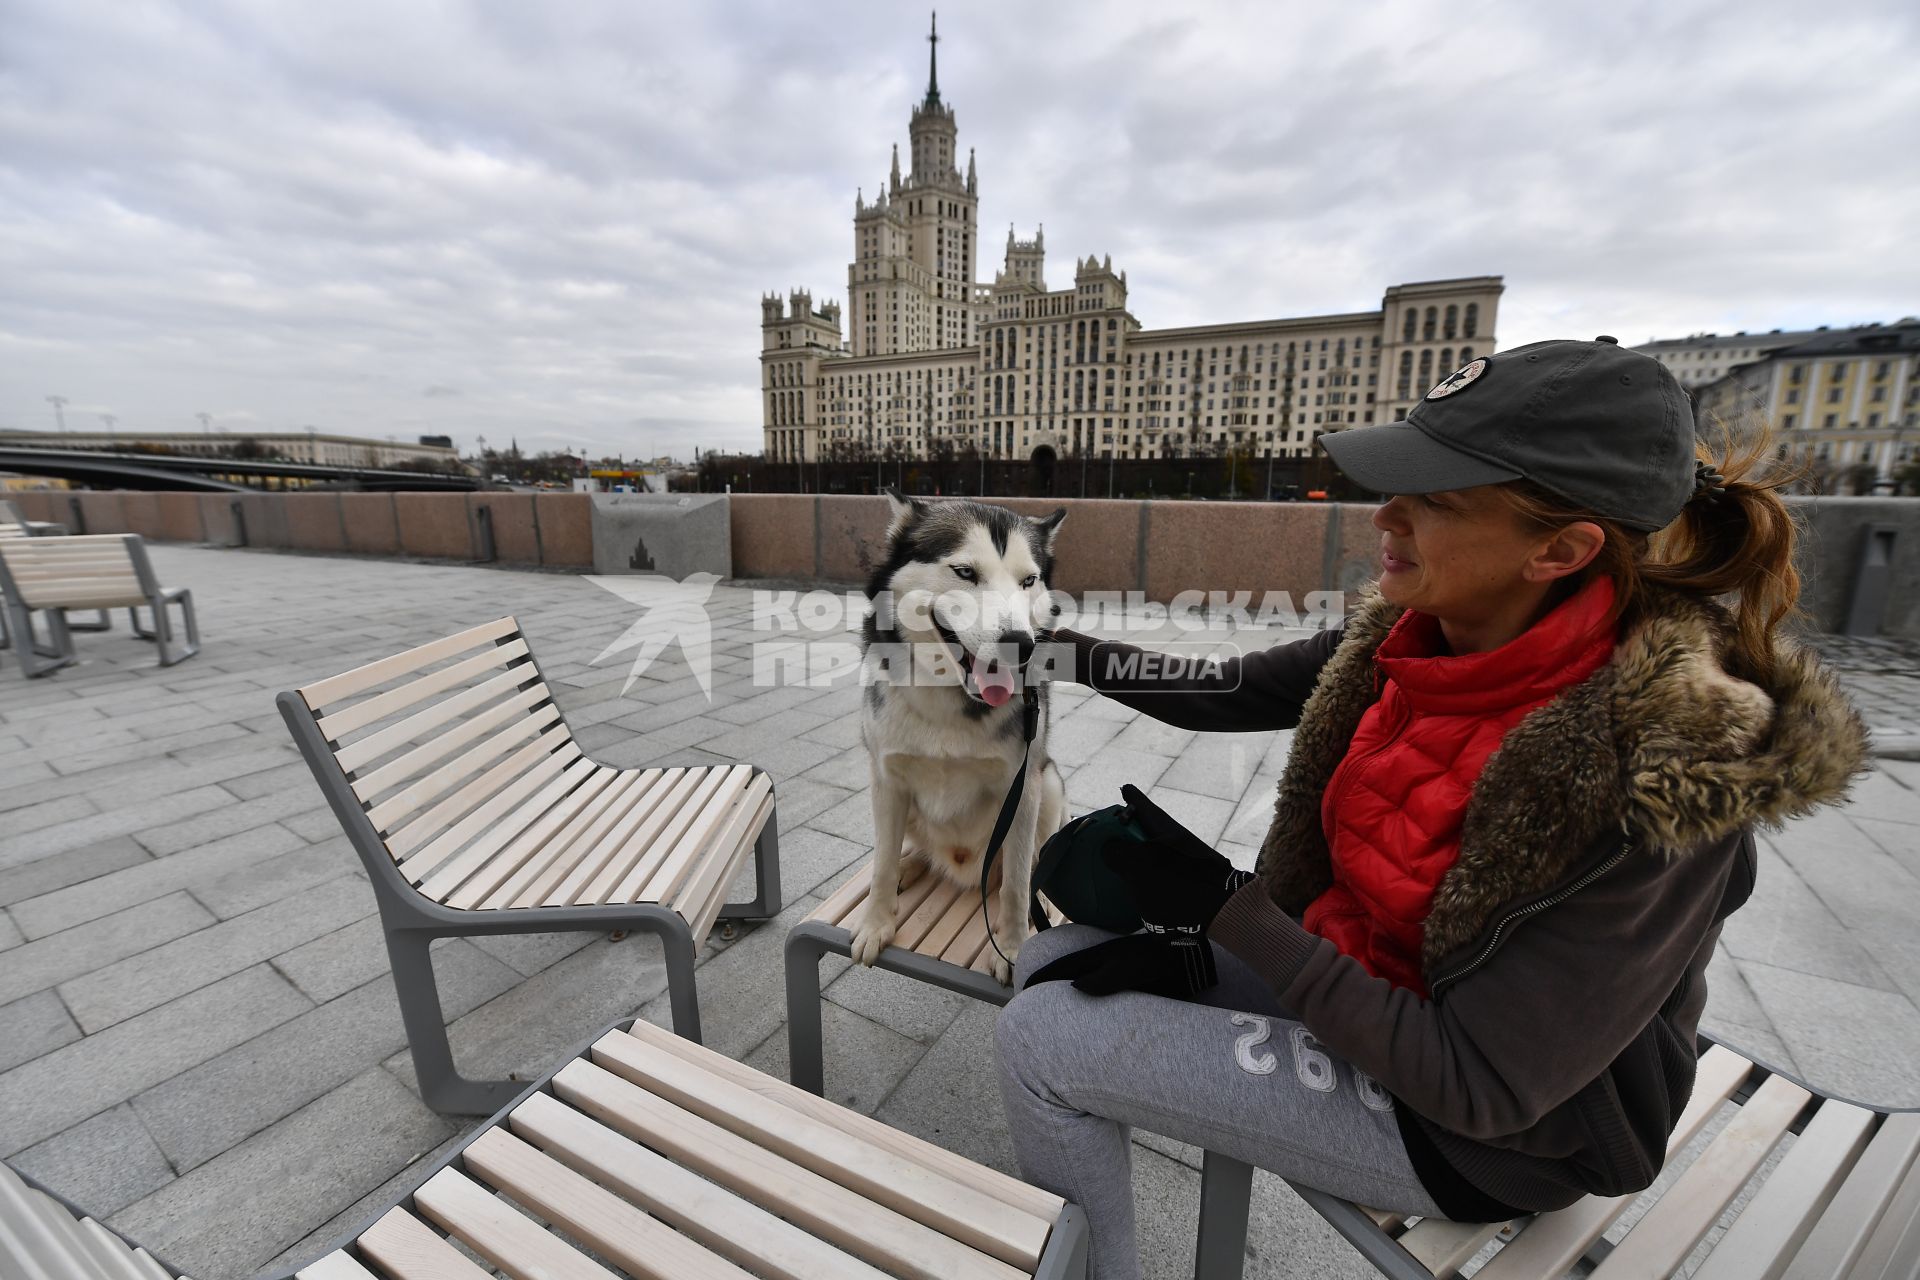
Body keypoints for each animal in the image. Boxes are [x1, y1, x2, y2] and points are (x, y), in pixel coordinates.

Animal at [852, 495, 1075, 990]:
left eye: (1028, 581)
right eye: (966, 572)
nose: (1020, 645)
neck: (951, 702)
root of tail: (966, 869)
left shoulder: (1023, 788)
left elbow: (1015, 886)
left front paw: (1011, 948)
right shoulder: (886, 778)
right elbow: (881, 862)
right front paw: (876, 922)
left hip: (1049, 781)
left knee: (1030, 863)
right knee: (904, 849)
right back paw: (910, 866)